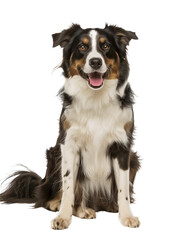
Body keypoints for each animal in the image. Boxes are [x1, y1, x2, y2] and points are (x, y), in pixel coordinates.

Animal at [0, 23, 141, 229]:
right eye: (82, 47)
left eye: (105, 46)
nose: (96, 62)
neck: (96, 99)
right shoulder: (69, 145)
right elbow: (68, 187)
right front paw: (63, 216)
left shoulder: (122, 147)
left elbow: (123, 189)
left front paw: (126, 216)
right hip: (54, 154)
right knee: (60, 194)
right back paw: (70, 206)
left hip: (134, 159)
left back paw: (107, 205)